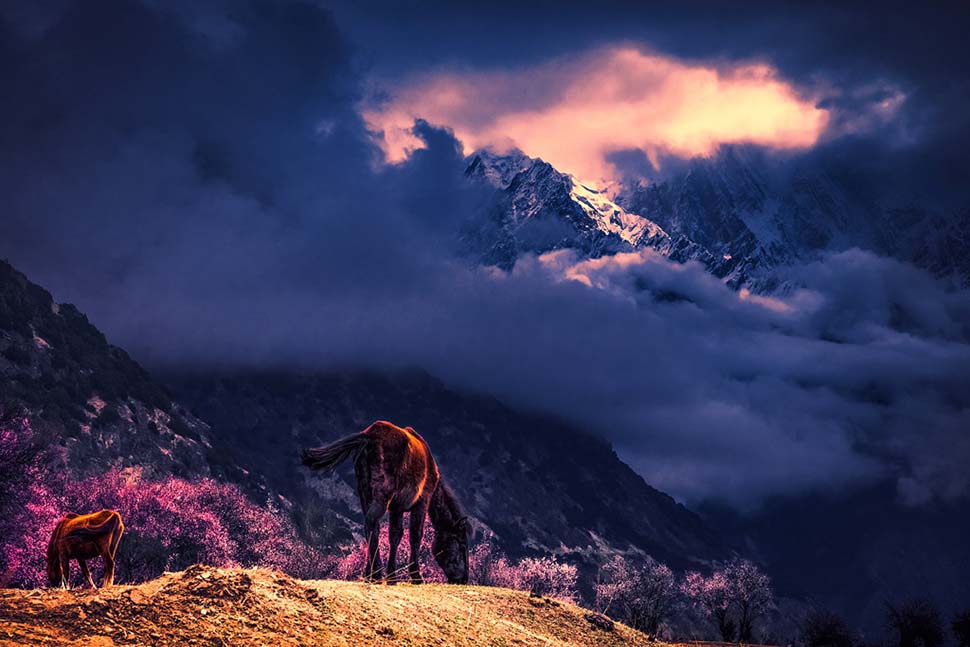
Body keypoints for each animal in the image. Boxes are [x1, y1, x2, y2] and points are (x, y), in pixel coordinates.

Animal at [300, 422, 470, 584]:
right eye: (462, 545)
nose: (463, 579)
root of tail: (369, 436)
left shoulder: (396, 508)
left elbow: (395, 535)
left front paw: (392, 576)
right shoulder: (422, 502)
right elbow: (415, 536)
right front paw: (415, 576)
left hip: (365, 495)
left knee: (371, 528)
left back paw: (370, 573)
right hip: (382, 497)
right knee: (370, 523)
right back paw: (375, 573)